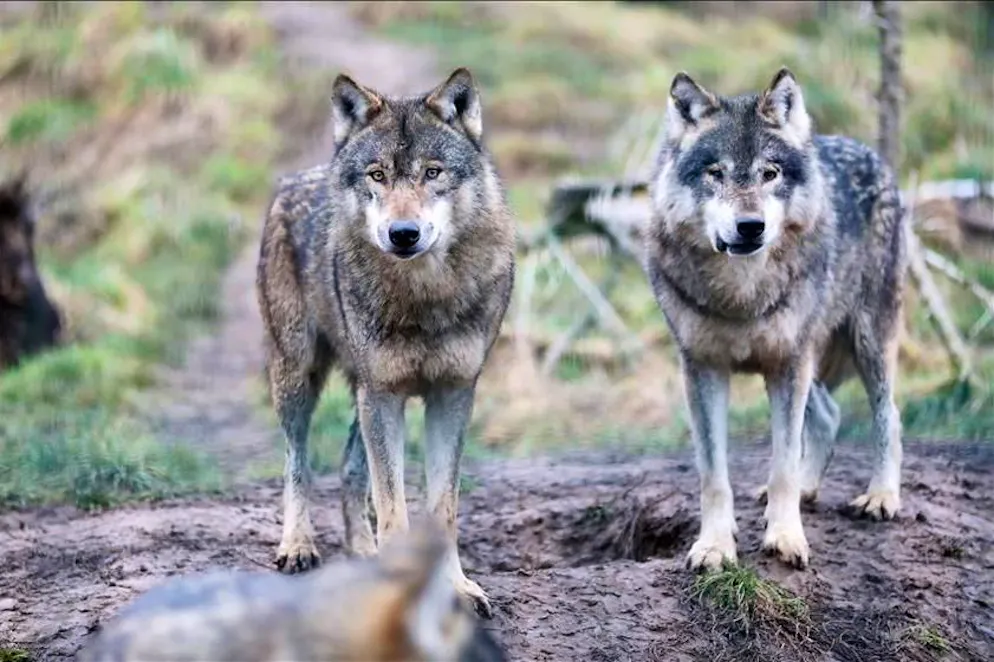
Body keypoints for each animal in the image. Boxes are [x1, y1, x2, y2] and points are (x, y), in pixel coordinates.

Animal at [256, 68, 515, 617]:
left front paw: (458, 588)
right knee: (297, 462)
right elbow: (394, 509)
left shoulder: (451, 395)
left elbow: (442, 510)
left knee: (349, 469)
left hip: (361, 390)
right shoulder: (385, 395)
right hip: (300, 378)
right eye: (376, 176)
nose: (403, 233)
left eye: (433, 173)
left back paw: (362, 554)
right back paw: (298, 546)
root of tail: (296, 178)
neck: (424, 297)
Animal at [644, 67, 908, 571]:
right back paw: (808, 489)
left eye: (770, 173)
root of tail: (869, 153)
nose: (751, 226)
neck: (742, 295)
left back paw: (881, 497)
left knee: (889, 413)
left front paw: (785, 538)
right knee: (829, 415)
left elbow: (783, 463)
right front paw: (714, 546)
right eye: (716, 173)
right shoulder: (703, 368)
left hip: (866, 339)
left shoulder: (788, 363)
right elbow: (714, 476)